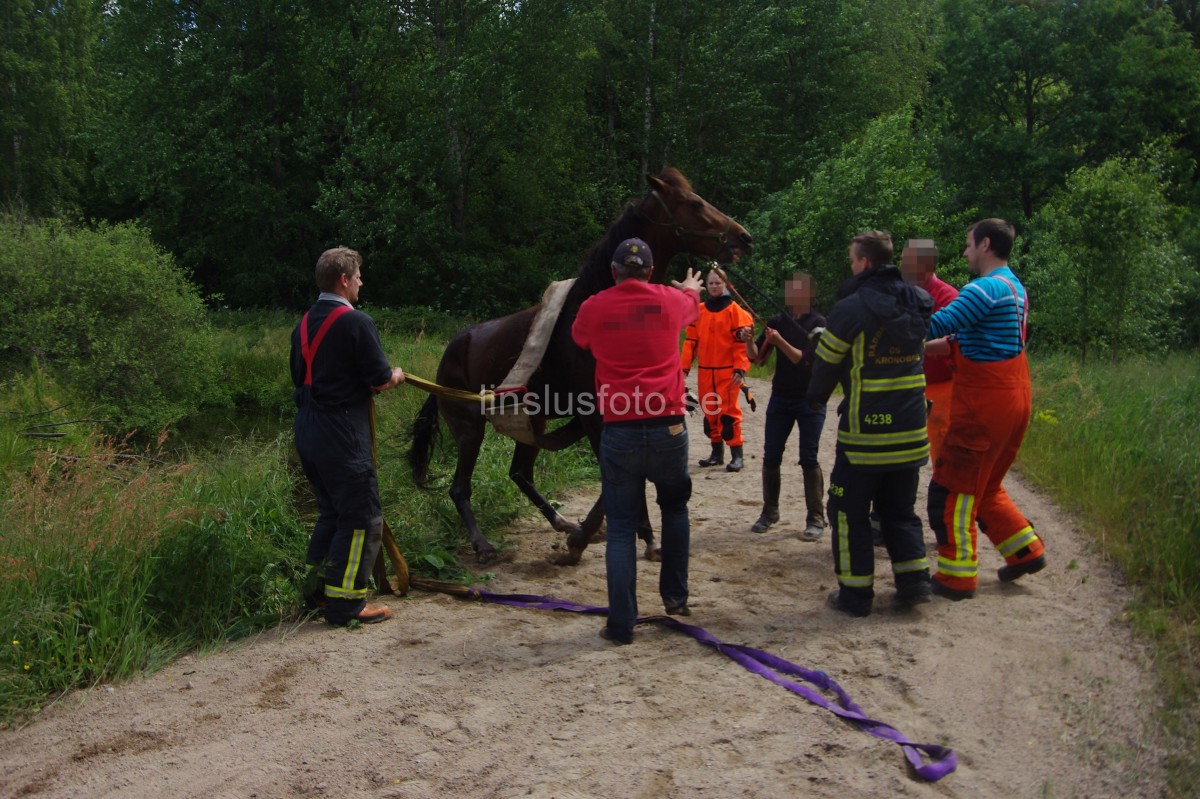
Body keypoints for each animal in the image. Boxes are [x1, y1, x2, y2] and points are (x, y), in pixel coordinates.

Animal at [408, 169, 753, 559]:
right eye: (694, 203)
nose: (743, 238)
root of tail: (449, 356)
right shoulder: (594, 416)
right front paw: (597, 539)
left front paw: (621, 536)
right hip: (470, 430)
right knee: (460, 488)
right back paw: (484, 545)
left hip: (531, 422)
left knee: (520, 473)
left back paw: (563, 524)